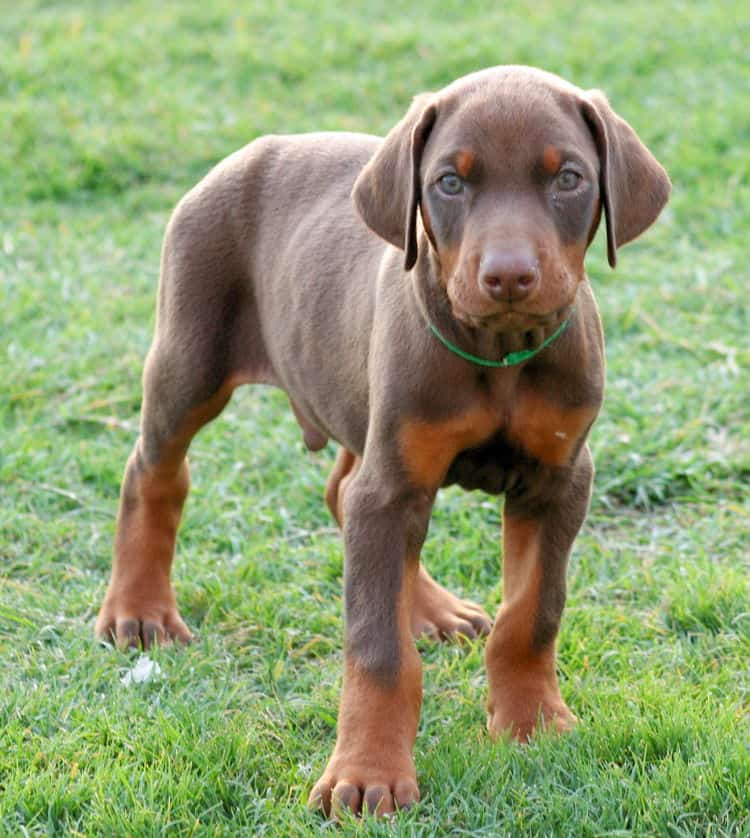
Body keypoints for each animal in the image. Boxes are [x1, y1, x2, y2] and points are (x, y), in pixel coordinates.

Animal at [94, 67, 668, 820]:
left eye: (568, 177)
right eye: (450, 183)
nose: (508, 277)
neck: (500, 354)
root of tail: (248, 152)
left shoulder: (559, 478)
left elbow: (532, 614)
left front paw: (531, 720)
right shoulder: (394, 482)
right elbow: (376, 647)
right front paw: (367, 774)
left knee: (345, 495)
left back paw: (433, 609)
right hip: (191, 359)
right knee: (155, 471)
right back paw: (139, 611)